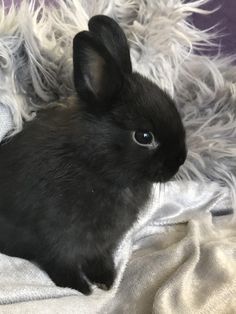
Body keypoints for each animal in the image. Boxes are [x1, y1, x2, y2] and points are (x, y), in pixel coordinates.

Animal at [0, 15, 186, 294]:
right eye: (144, 137)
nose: (179, 161)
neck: (93, 165)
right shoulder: (58, 237)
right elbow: (62, 263)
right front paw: (81, 288)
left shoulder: (104, 244)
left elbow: (100, 258)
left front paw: (106, 279)